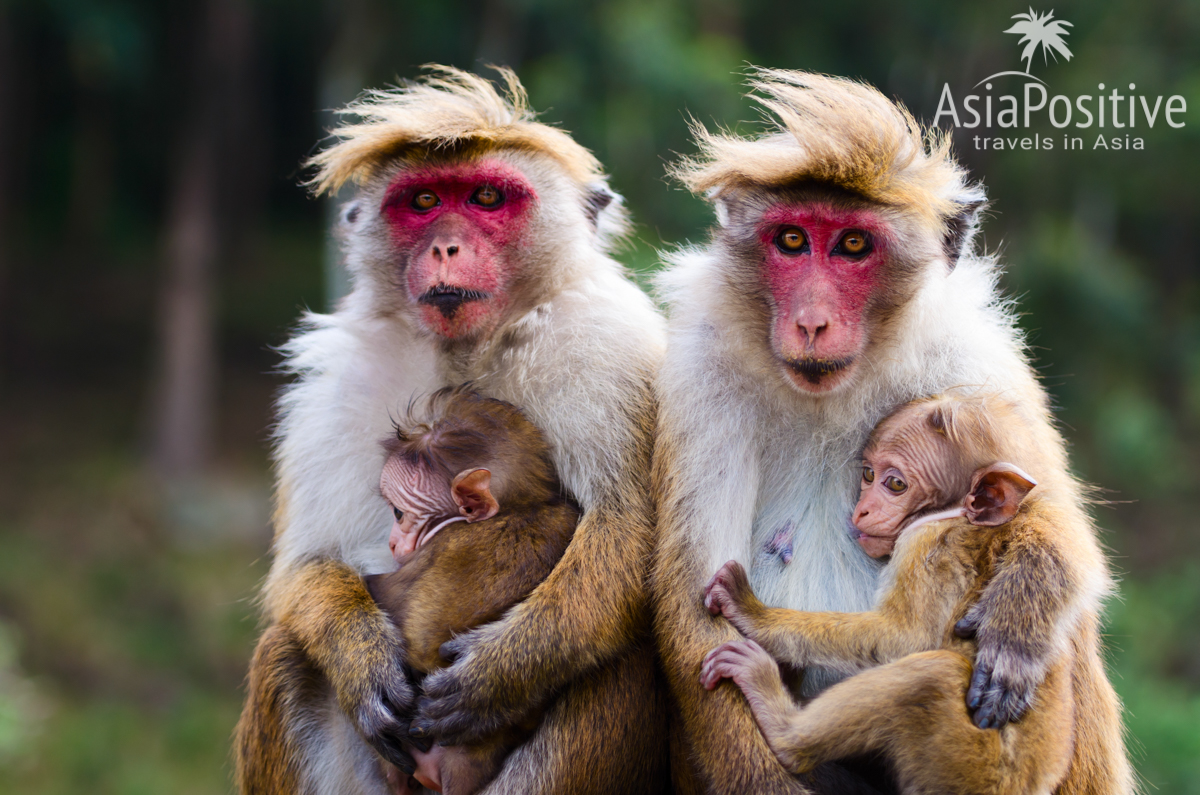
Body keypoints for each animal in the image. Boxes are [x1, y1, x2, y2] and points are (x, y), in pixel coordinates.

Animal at [700, 396, 1128, 795]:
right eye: (868, 474)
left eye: (895, 484)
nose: (862, 511)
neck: (954, 516)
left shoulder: (927, 546)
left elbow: (906, 637)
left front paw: (753, 614)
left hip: (966, 761)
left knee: (933, 676)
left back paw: (783, 727)